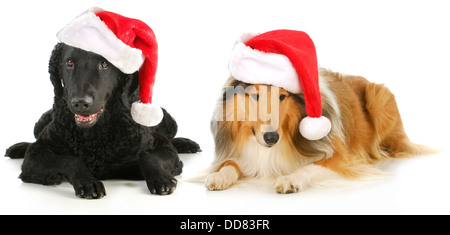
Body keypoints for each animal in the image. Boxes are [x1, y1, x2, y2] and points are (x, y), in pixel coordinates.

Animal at [4, 43, 200, 198]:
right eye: (69, 63)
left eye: (104, 64)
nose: (80, 103)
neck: (95, 137)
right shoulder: (35, 155)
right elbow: (68, 159)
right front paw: (87, 181)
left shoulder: (162, 146)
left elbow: (149, 156)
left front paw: (160, 178)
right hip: (41, 123)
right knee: (32, 141)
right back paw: (17, 148)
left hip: (167, 120)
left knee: (171, 138)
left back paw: (187, 144)